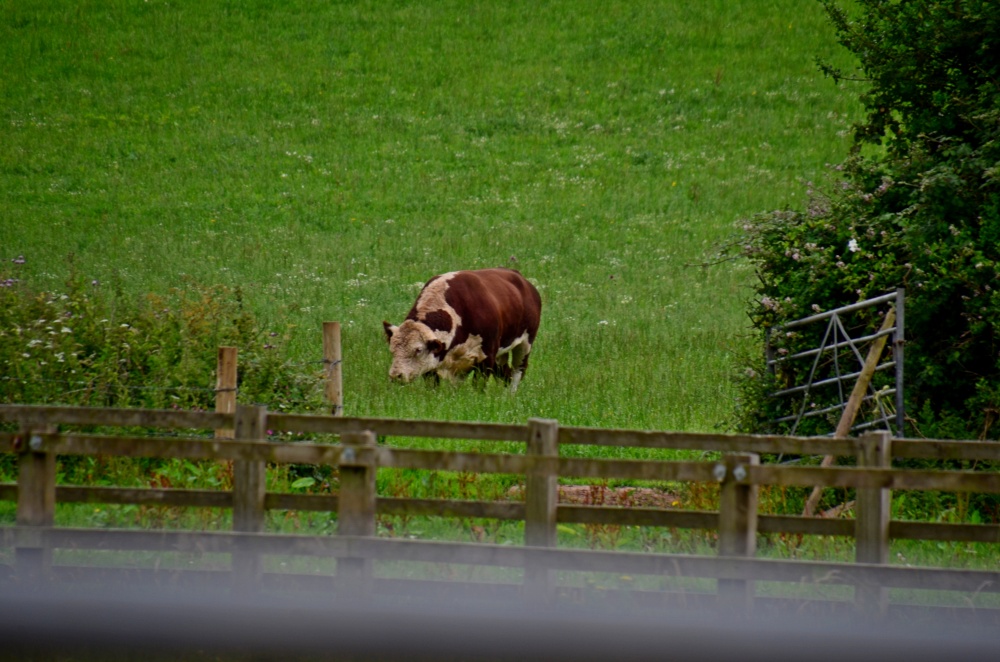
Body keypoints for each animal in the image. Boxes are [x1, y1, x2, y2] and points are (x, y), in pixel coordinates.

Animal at [382, 270, 544, 394]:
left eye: (418, 350)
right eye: (392, 350)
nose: (396, 375)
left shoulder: (486, 357)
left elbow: (479, 385)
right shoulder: (434, 361)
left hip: (524, 344)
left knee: (518, 370)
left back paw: (510, 394)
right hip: (501, 353)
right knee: (505, 373)